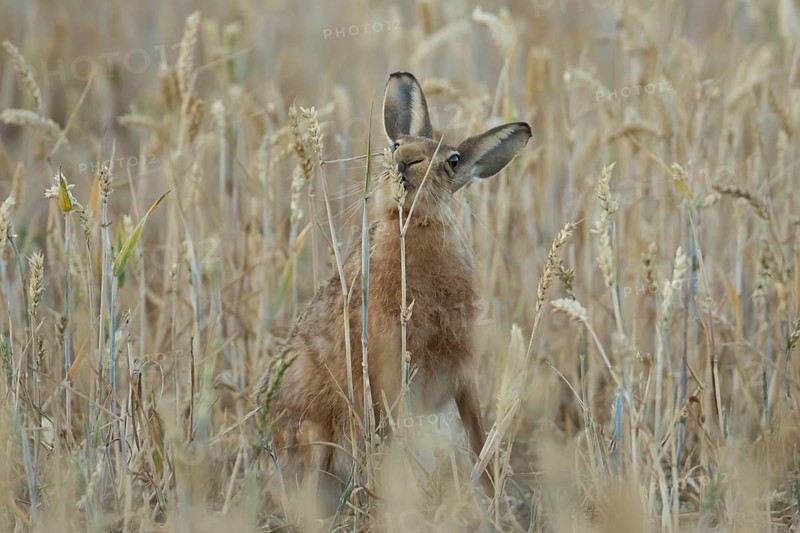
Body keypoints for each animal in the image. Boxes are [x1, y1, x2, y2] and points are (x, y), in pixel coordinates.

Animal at [257, 71, 531, 514]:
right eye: (396, 145)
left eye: (453, 161)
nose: (406, 161)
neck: (413, 224)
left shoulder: (461, 373)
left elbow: (478, 435)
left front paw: (493, 500)